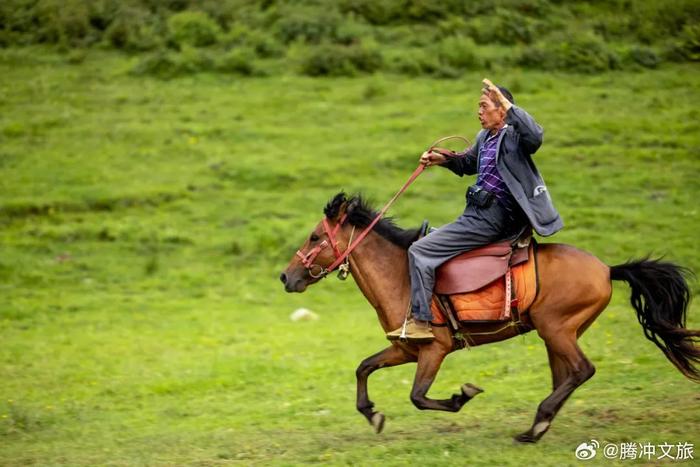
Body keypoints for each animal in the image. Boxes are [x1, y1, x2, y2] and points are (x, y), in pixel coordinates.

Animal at [280, 193, 700, 442]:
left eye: (315, 237)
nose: (286, 276)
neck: (401, 276)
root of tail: (607, 269)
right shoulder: (405, 350)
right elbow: (364, 367)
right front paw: (372, 415)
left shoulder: (434, 350)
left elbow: (418, 396)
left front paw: (461, 396)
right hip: (556, 334)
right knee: (566, 375)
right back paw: (539, 424)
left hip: (556, 329)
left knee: (582, 370)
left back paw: (536, 425)